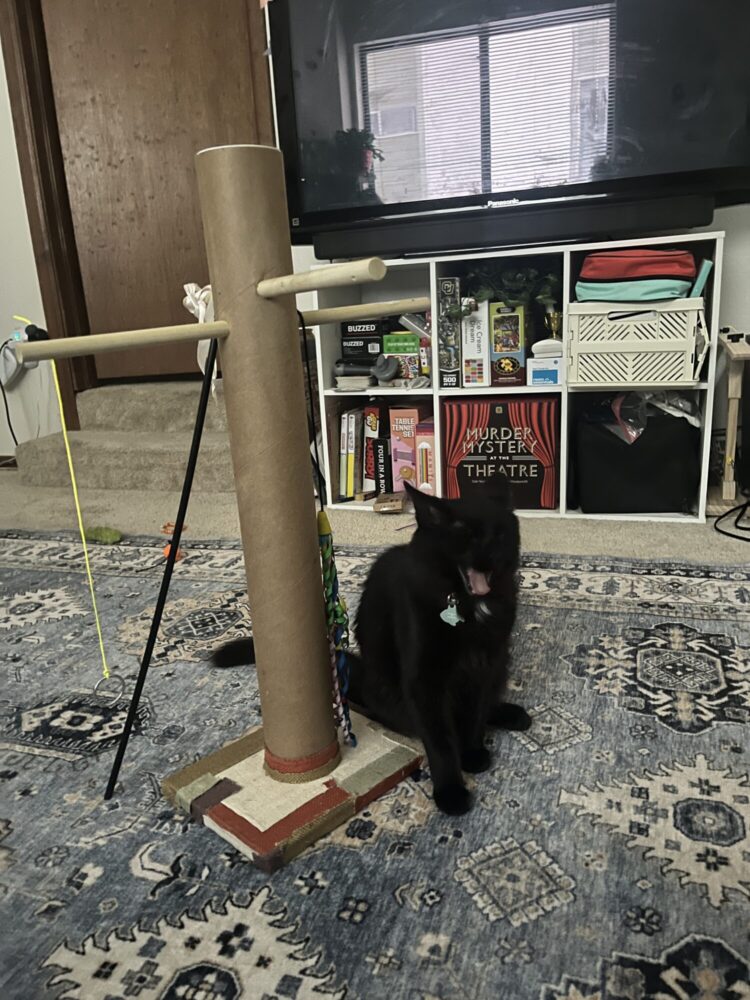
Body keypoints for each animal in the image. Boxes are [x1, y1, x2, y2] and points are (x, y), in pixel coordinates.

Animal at [212, 480, 531, 816]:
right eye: (465, 534)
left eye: (499, 534)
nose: (491, 551)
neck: (469, 607)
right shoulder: (424, 680)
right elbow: (440, 741)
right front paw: (451, 792)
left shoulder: (487, 663)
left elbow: (475, 713)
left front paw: (472, 753)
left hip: (501, 665)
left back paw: (511, 714)